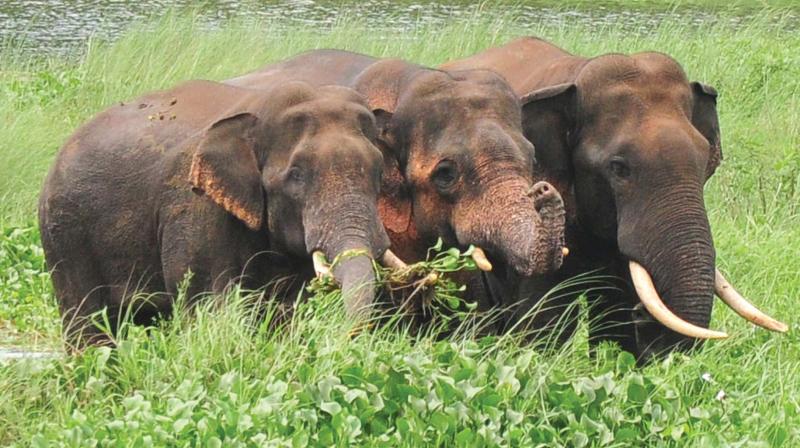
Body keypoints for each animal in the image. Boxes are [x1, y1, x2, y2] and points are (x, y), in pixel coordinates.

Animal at [444, 36, 788, 362]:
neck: (576, 73)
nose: (643, 315)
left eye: (706, 162)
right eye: (618, 168)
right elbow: (546, 317)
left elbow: (614, 319)